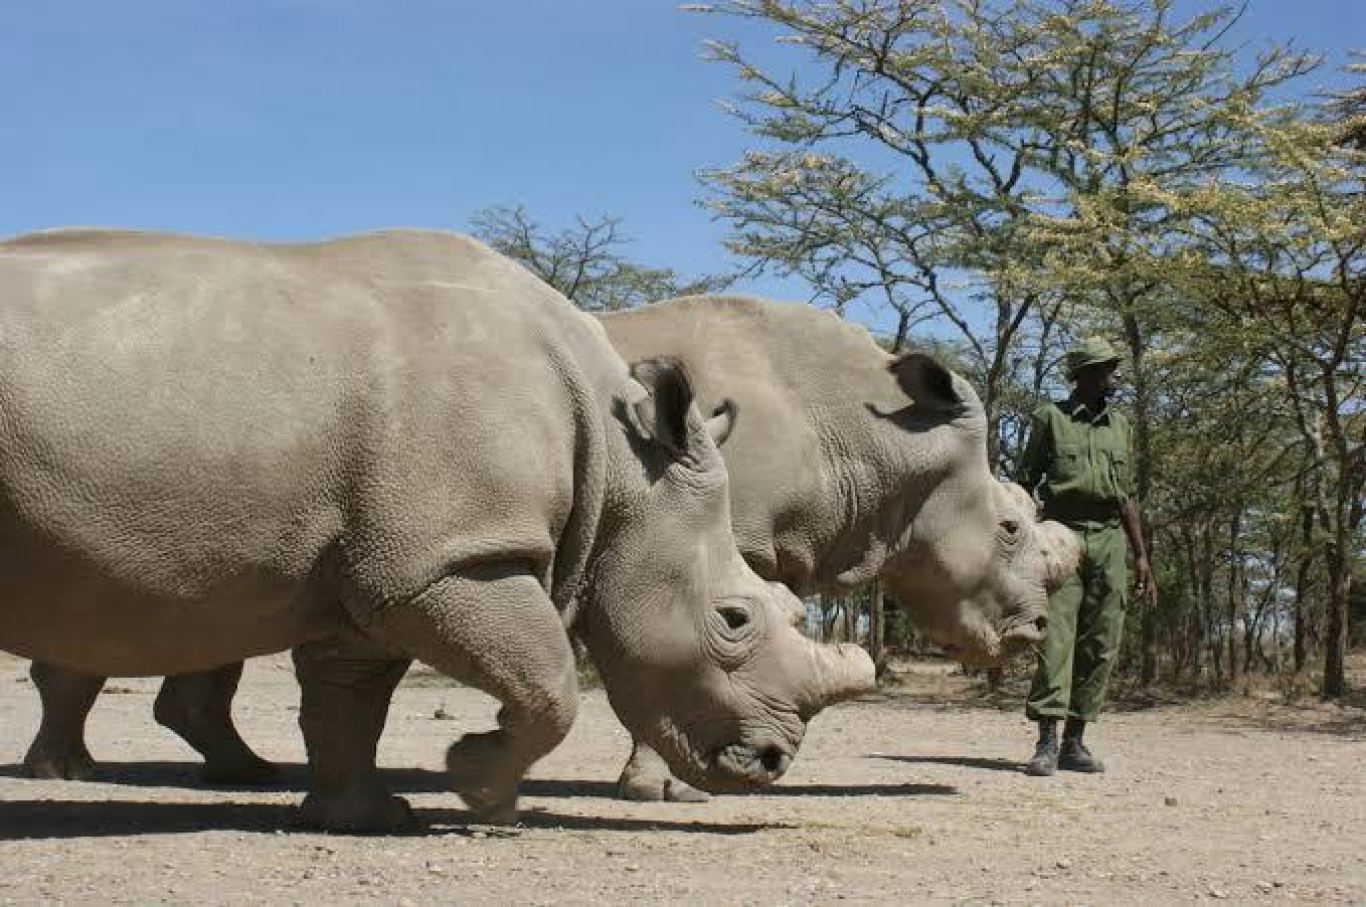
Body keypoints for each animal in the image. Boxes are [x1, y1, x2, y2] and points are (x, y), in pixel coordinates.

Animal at [0, 230, 874, 831]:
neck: (627, 473)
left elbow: (348, 697)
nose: (773, 761)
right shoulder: (452, 556)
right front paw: (477, 786)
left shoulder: (381, 560)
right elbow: (549, 680)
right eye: (734, 618)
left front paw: (365, 817)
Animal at [20, 294, 1078, 801]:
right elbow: (681, 647)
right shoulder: (705, 524)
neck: (876, 440)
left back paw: (237, 773)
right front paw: (664, 789)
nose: (1034, 631)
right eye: (1012, 526)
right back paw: (72, 776)